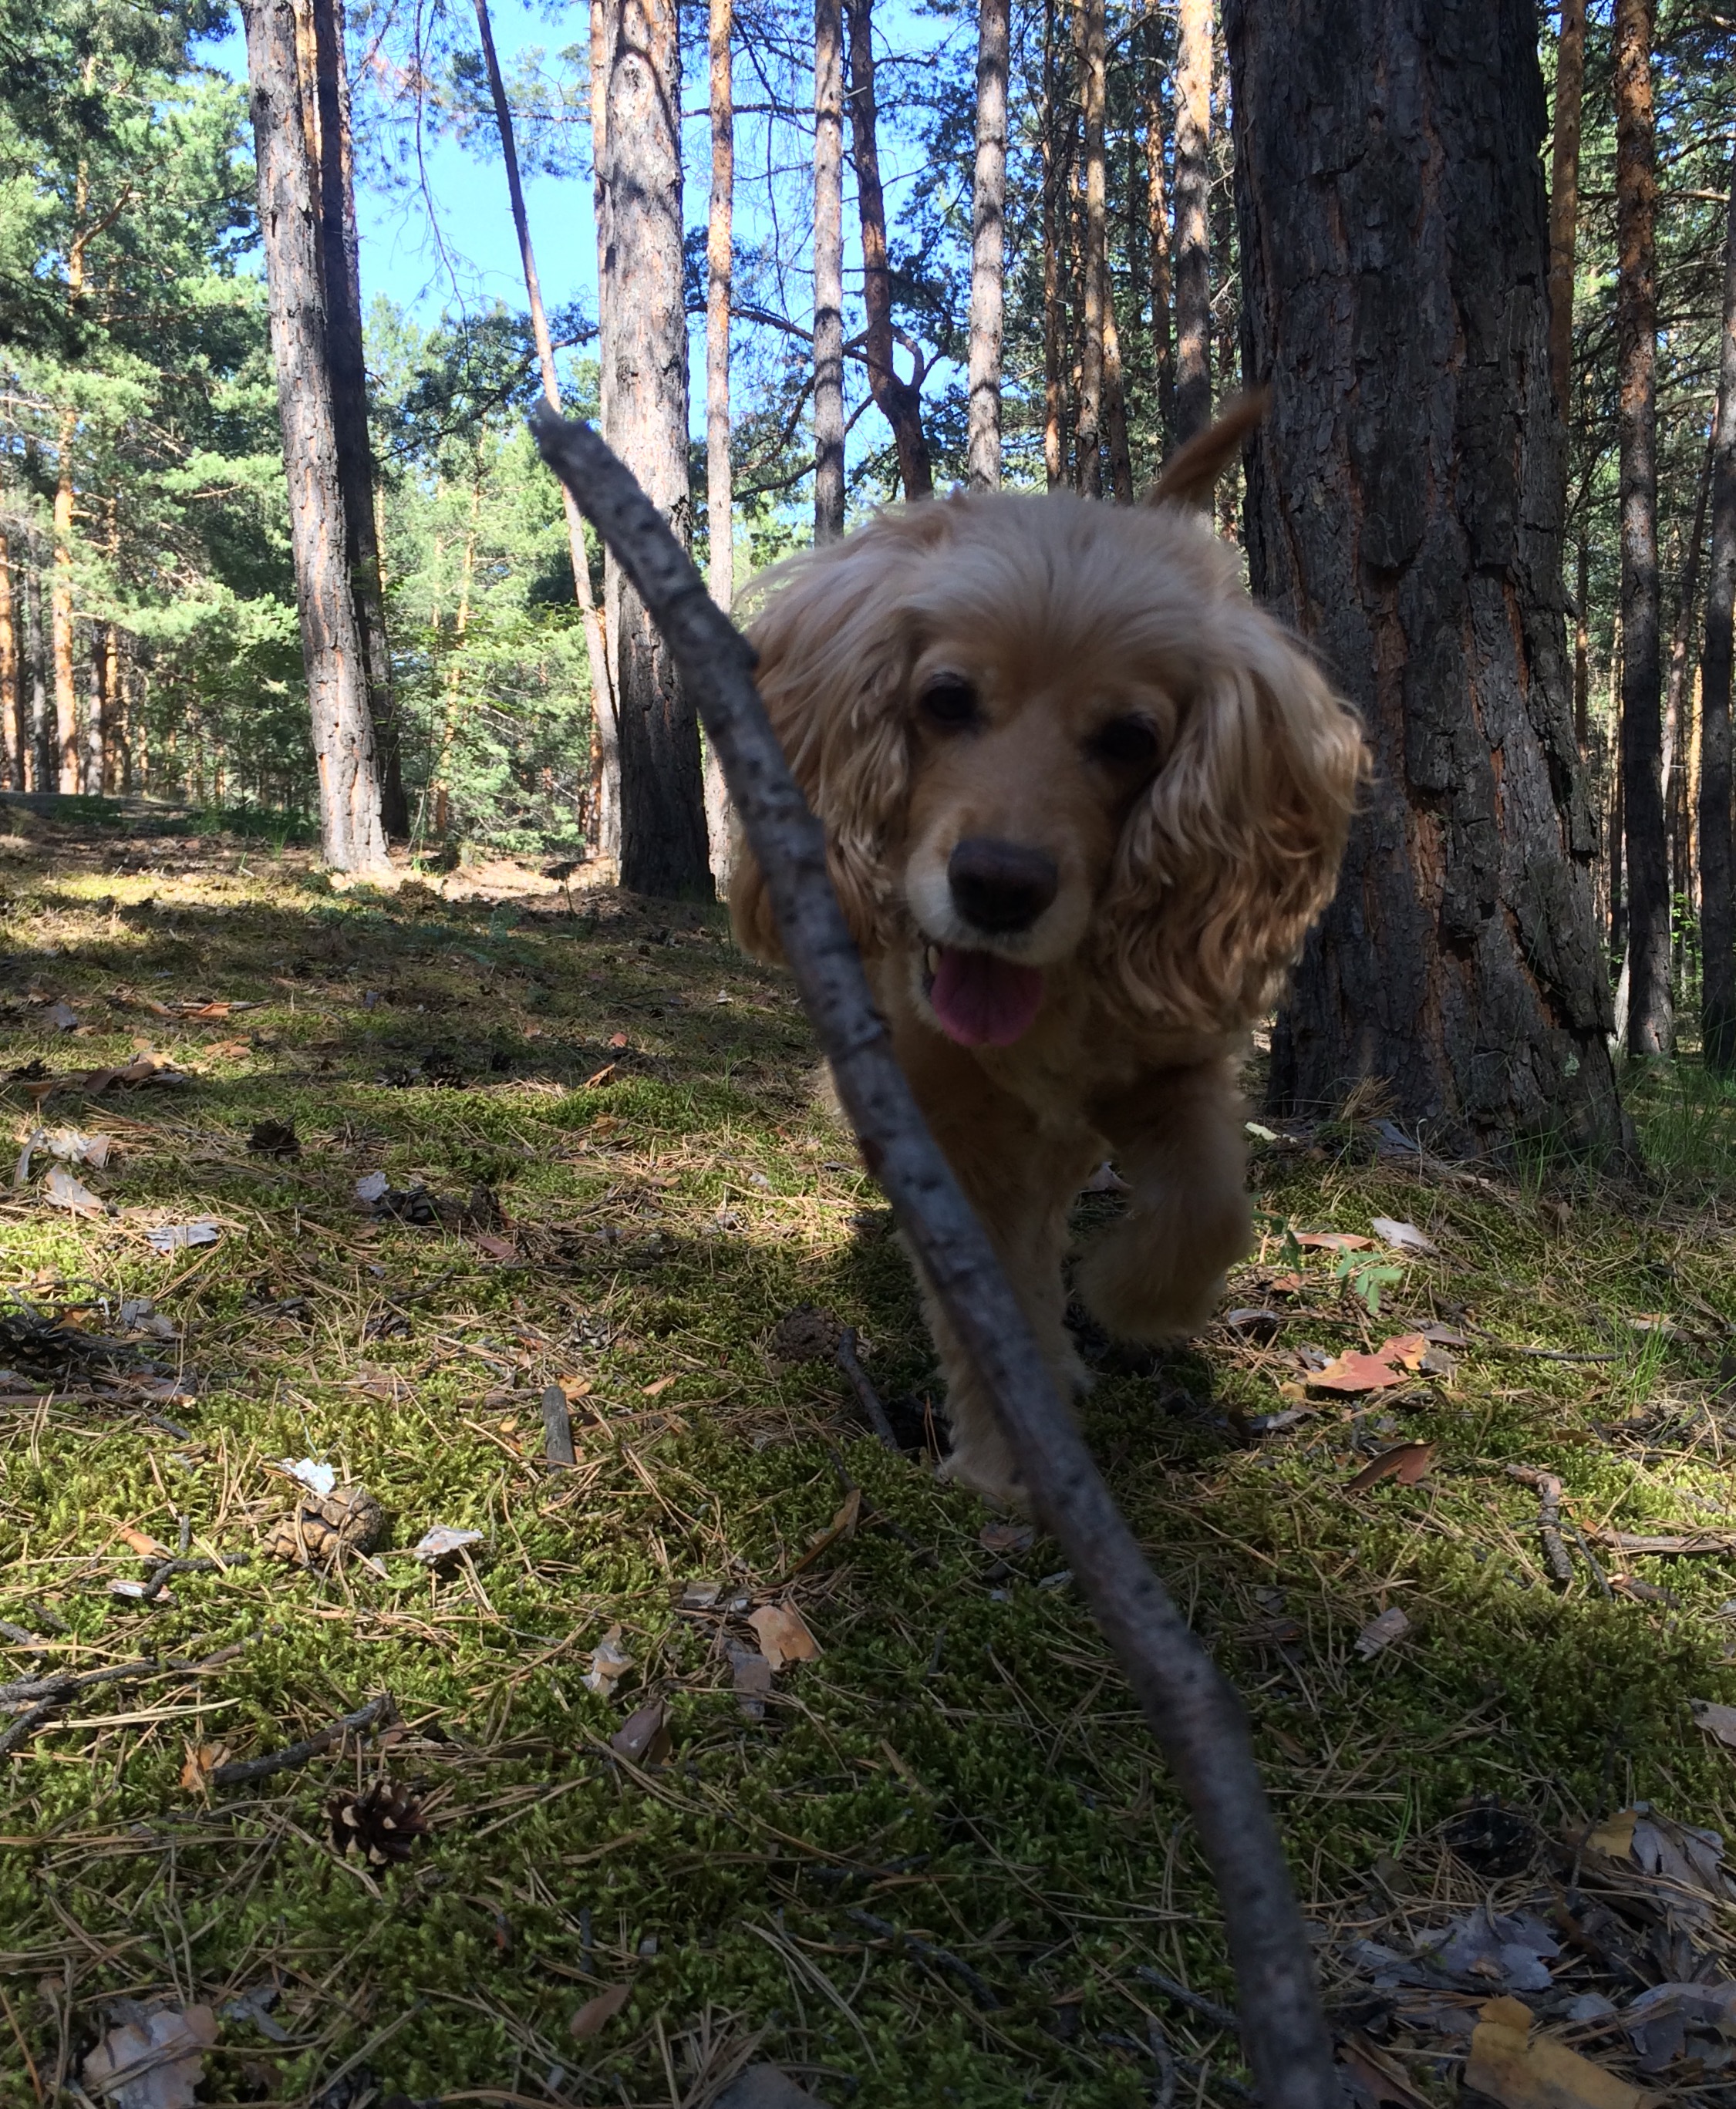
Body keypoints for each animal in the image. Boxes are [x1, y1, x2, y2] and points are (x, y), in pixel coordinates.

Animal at [729, 404, 1367, 1505]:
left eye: (1131, 738)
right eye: (945, 698)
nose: (999, 885)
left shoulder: (1177, 1064)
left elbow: (1209, 1209)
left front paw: (1130, 1296)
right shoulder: (954, 1125)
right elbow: (996, 1298)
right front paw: (1004, 1453)